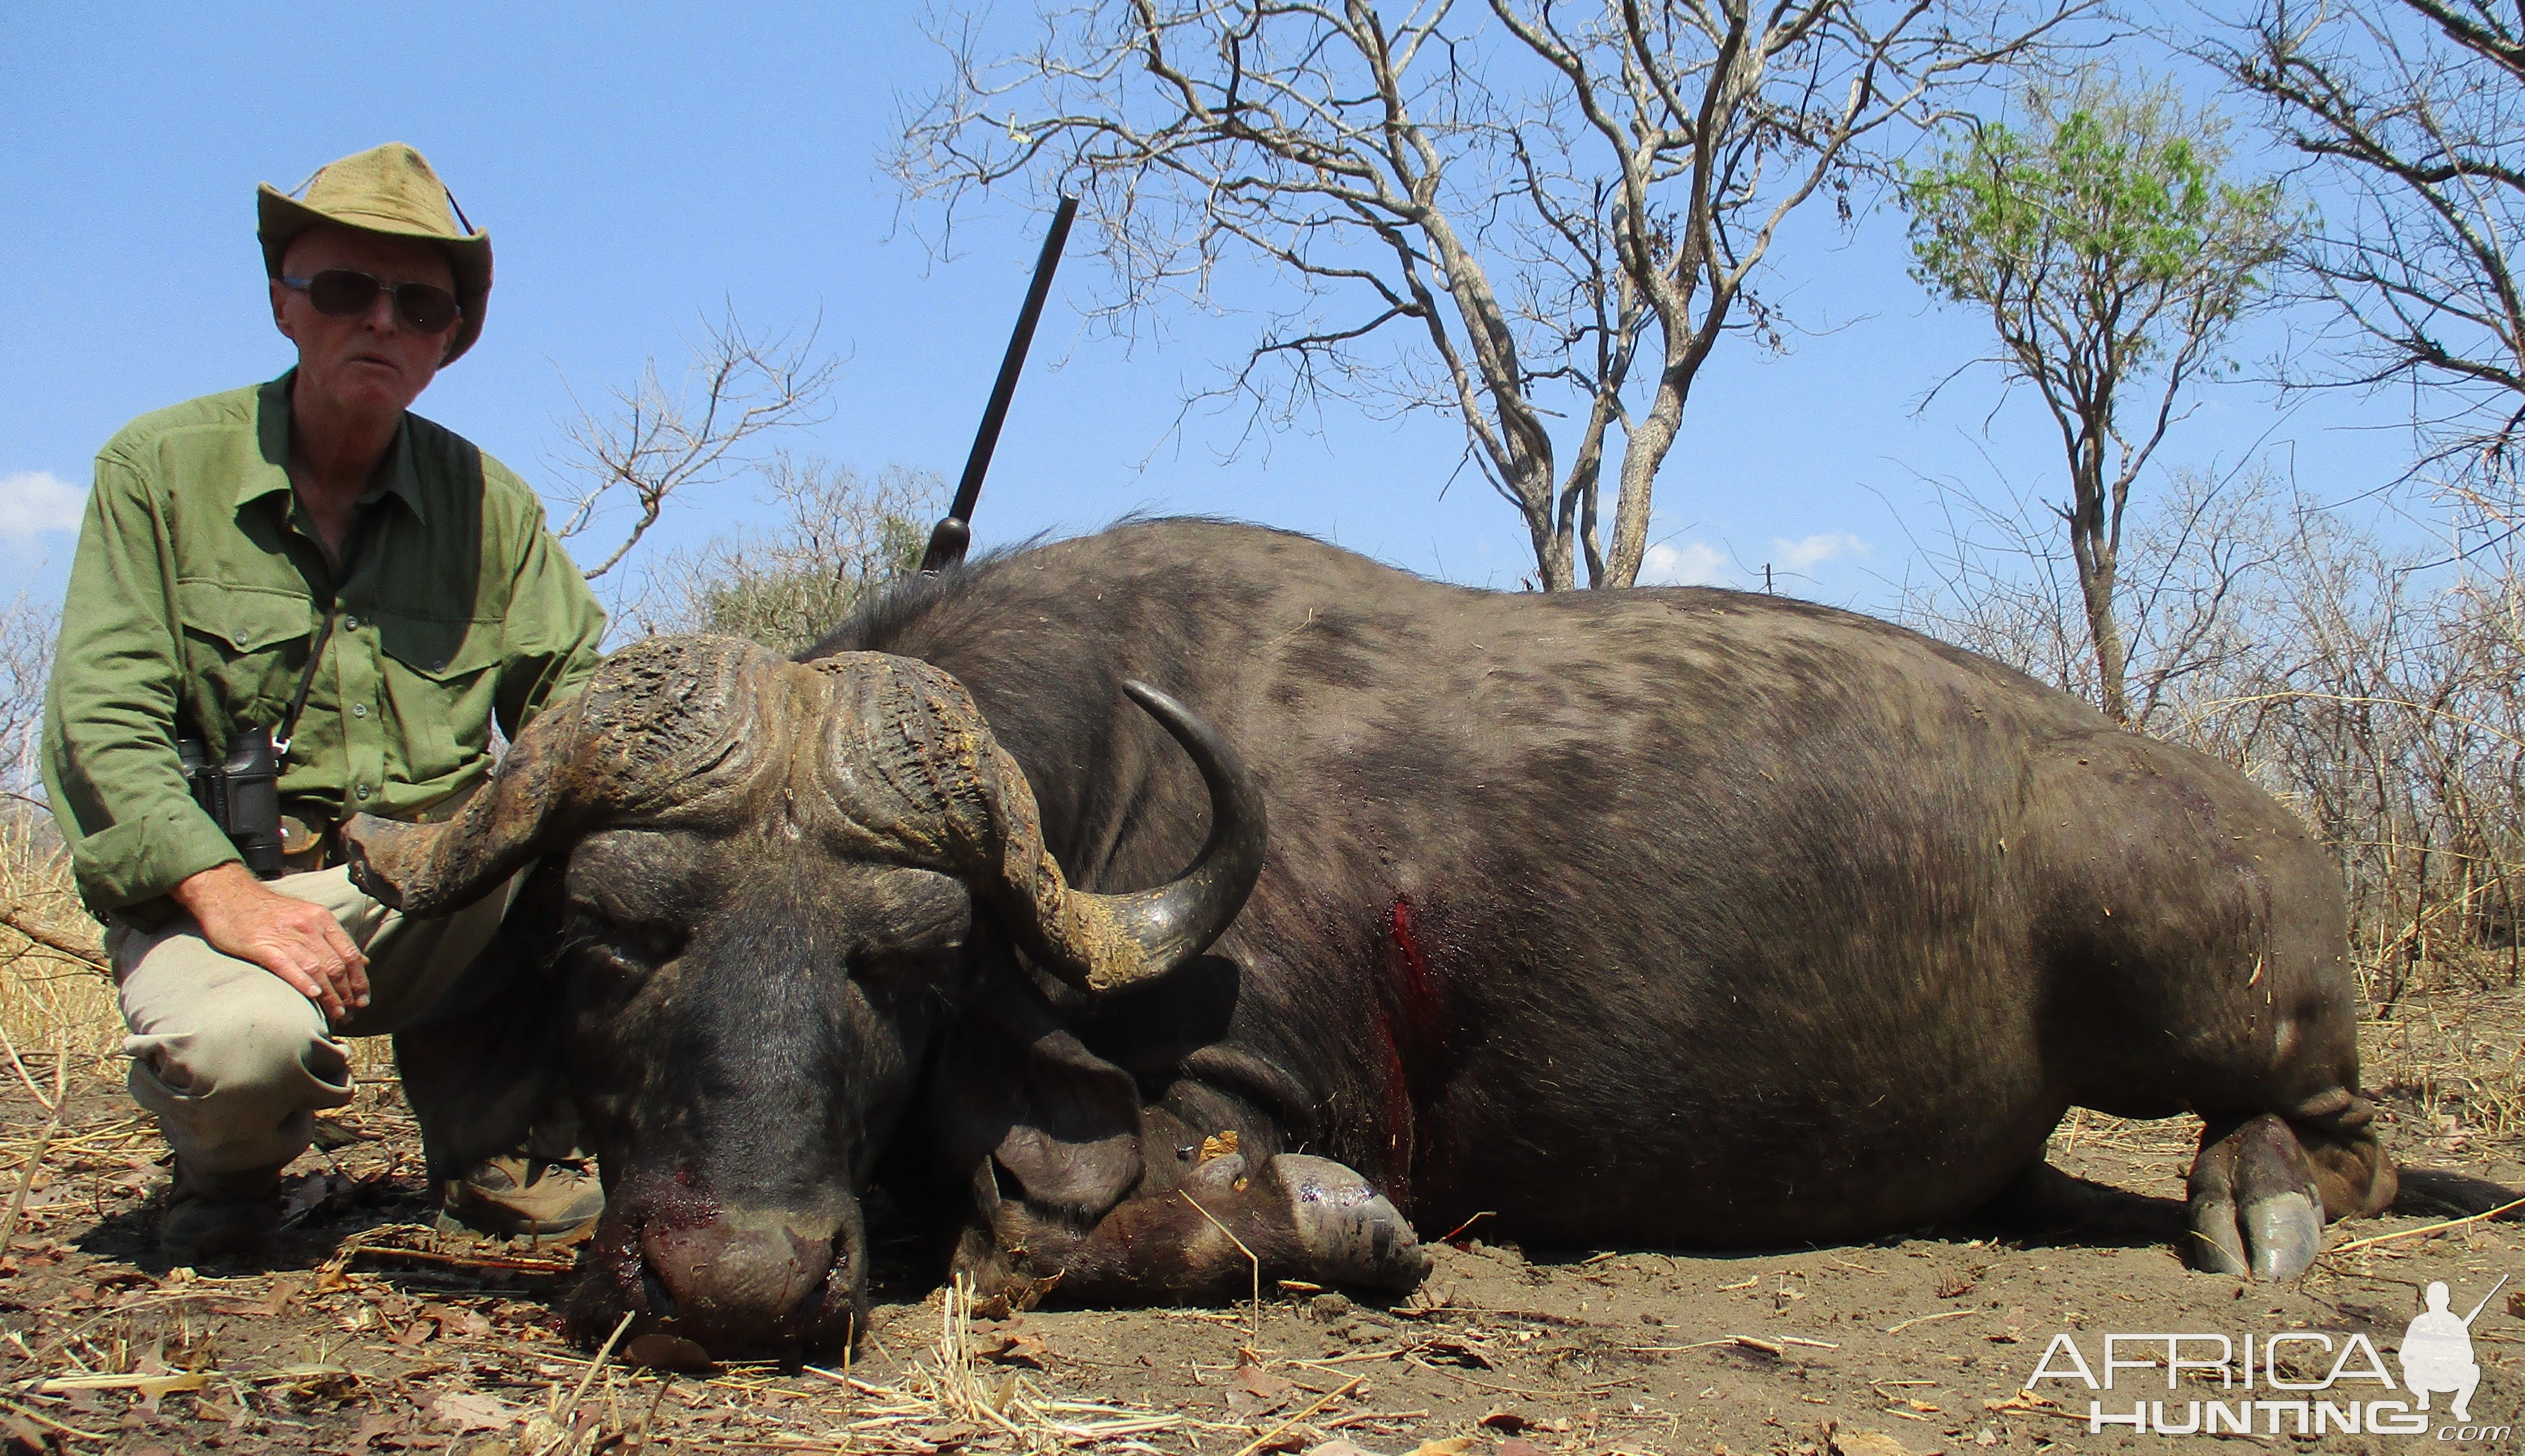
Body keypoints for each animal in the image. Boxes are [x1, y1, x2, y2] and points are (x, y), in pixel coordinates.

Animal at [341, 519, 2444, 1352]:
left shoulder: (1246, 1085)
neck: (1105, 779)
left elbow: (1069, 1223)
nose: (738, 1279)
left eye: (904, 966)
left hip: (2204, 998)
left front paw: (1341, 1225)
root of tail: (2265, 820)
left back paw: (2258, 1202)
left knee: (2338, 1126)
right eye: (612, 940)